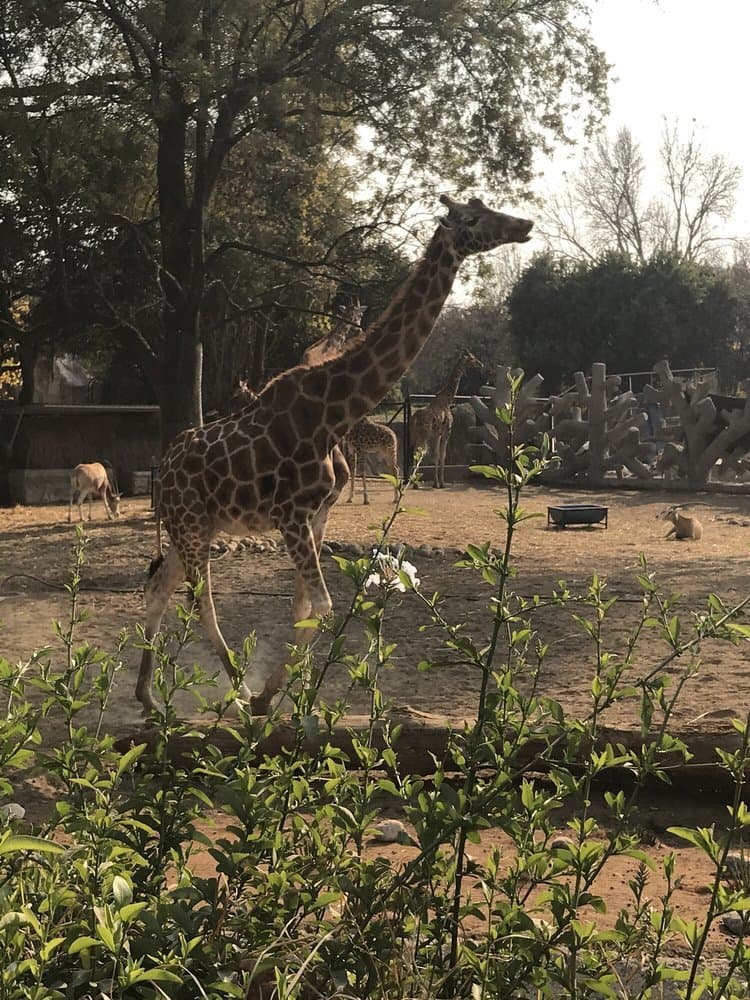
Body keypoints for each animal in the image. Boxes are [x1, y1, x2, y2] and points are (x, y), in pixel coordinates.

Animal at [412, 348, 488, 488]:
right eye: (472, 358)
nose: (481, 364)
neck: (447, 401)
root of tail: (414, 419)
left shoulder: (438, 434)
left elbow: (438, 455)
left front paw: (437, 482)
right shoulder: (445, 432)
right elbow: (441, 456)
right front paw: (440, 483)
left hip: (416, 435)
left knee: (415, 453)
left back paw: (414, 483)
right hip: (424, 434)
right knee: (418, 453)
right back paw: (415, 483)